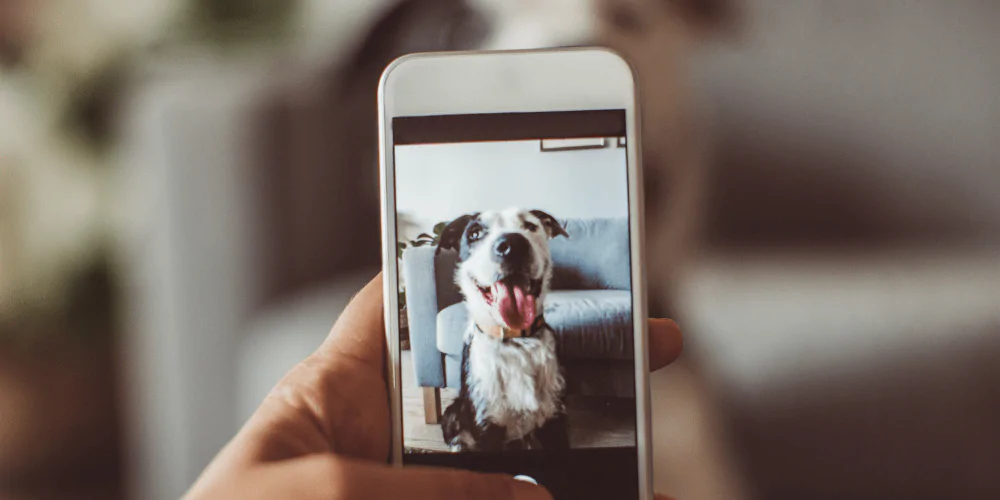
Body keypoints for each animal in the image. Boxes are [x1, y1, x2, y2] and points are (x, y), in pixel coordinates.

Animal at [436, 208, 572, 454]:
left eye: (531, 226)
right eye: (474, 233)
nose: (511, 245)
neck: (515, 341)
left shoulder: (554, 418)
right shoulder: (487, 425)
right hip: (454, 409)